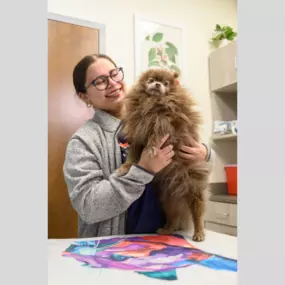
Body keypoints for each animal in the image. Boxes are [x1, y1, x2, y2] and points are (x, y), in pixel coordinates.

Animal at [116, 67, 210, 241]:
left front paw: (152, 149)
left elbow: (156, 136)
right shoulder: (138, 137)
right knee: (173, 217)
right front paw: (125, 168)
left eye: (166, 83)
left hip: (193, 189)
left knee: (197, 212)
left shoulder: (164, 125)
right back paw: (167, 230)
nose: (158, 84)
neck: (152, 103)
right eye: (152, 80)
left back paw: (199, 232)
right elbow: (132, 157)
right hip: (169, 201)